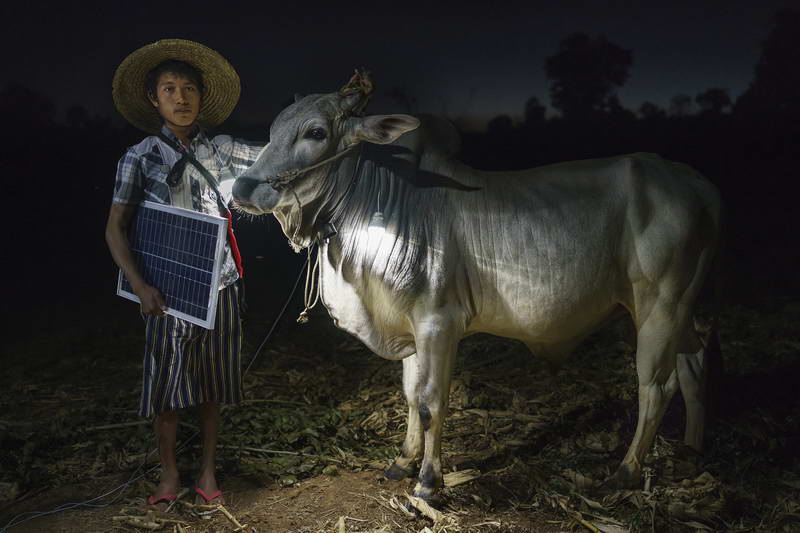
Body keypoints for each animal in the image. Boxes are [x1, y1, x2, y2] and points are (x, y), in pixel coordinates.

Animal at [230, 74, 720, 502]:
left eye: (315, 131)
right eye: (272, 130)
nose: (242, 188)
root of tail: (696, 182)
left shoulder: (439, 324)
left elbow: (431, 402)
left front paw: (429, 483)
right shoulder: (409, 327)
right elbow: (410, 395)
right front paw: (402, 462)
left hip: (660, 305)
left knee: (655, 386)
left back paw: (625, 471)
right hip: (668, 310)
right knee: (694, 362)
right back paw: (693, 448)